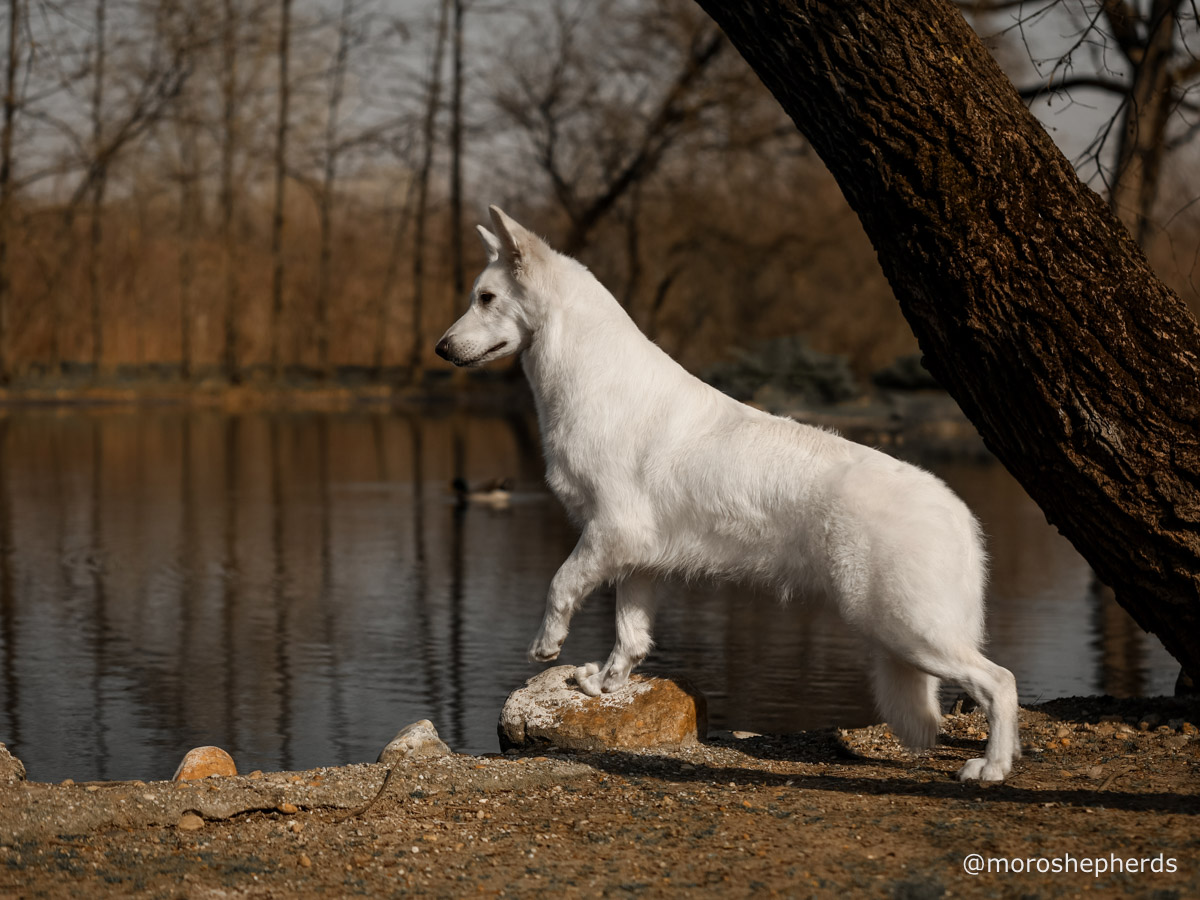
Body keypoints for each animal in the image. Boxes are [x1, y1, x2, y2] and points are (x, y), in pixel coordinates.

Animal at [436, 204, 1017, 782]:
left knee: (1000, 682)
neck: (593, 376)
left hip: (905, 628)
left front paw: (547, 643)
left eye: (485, 298)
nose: (440, 349)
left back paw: (991, 768)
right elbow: (630, 637)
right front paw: (604, 686)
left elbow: (559, 584)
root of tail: (958, 511)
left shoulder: (608, 534)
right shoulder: (635, 559)